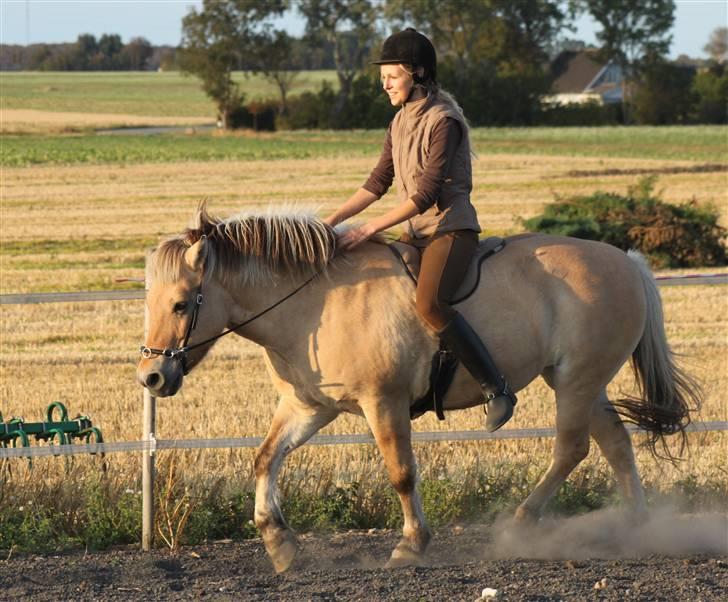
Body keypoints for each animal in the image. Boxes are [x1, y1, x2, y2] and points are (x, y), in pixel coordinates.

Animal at [135, 204, 700, 568]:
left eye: (181, 304)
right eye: (152, 302)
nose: (152, 377)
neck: (315, 304)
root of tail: (625, 260)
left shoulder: (383, 403)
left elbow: (402, 474)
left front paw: (410, 545)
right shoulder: (307, 406)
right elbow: (265, 459)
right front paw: (281, 546)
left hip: (577, 380)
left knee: (572, 447)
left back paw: (522, 522)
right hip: (580, 380)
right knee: (614, 444)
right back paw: (636, 530)